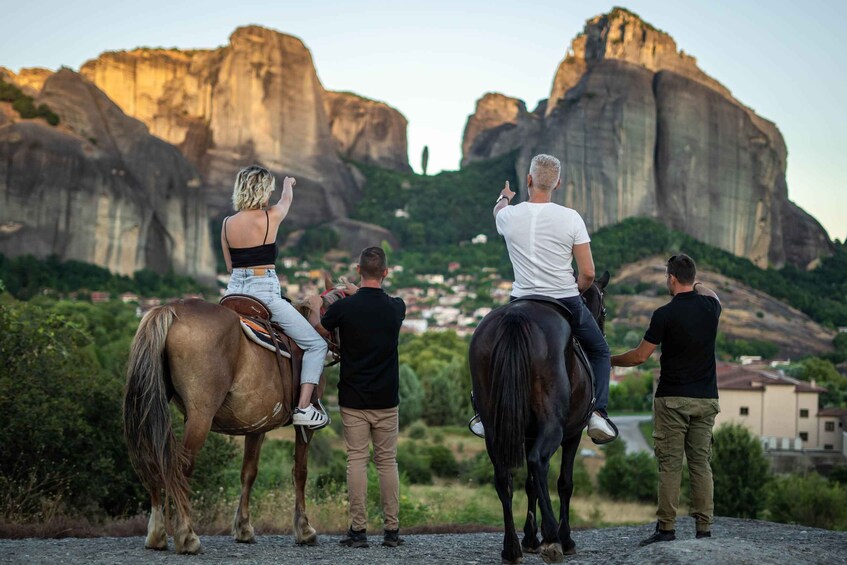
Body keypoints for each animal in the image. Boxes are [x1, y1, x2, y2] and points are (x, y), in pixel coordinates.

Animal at [121, 284, 344, 552]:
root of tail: (171, 310)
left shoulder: (257, 425)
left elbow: (248, 472)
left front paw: (244, 528)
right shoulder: (305, 429)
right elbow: (300, 472)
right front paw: (304, 529)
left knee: (152, 458)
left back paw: (156, 534)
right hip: (200, 417)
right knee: (181, 467)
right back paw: (186, 536)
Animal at [470, 272, 608, 560]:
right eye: (604, 309)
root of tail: (516, 317)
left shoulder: (527, 434)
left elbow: (530, 484)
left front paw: (531, 537)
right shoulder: (573, 434)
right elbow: (564, 482)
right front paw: (561, 537)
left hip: (495, 428)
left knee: (504, 477)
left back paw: (511, 547)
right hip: (553, 425)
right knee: (537, 462)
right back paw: (554, 538)